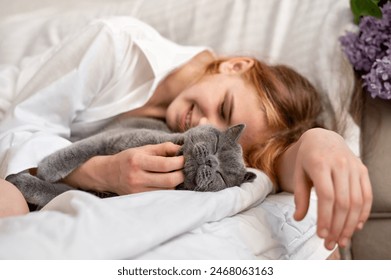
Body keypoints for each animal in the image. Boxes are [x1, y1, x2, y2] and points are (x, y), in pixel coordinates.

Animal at [6, 116, 258, 208]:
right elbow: (79, 150)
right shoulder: (111, 138)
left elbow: (60, 192)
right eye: (216, 144)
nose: (211, 162)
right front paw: (47, 169)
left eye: (222, 176)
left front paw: (22, 183)